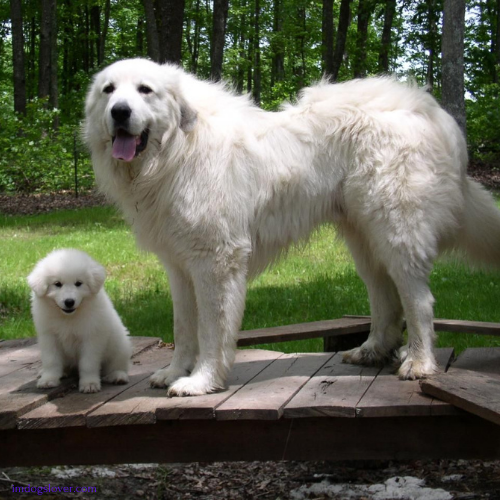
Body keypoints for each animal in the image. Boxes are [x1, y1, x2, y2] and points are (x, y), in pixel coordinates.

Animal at [28, 248, 132, 392]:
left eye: (78, 283)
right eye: (57, 284)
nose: (69, 302)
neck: (68, 317)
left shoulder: (91, 338)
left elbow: (88, 364)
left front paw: (89, 384)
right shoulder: (49, 337)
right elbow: (51, 361)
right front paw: (48, 379)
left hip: (120, 346)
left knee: (118, 364)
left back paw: (117, 376)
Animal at [84, 57, 500, 394]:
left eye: (145, 90)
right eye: (109, 90)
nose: (119, 112)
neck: (176, 150)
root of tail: (431, 111)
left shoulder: (215, 260)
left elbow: (211, 329)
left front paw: (201, 381)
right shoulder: (179, 265)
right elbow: (183, 326)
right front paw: (173, 373)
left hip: (397, 230)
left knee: (417, 299)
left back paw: (419, 362)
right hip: (364, 238)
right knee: (384, 295)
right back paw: (372, 350)